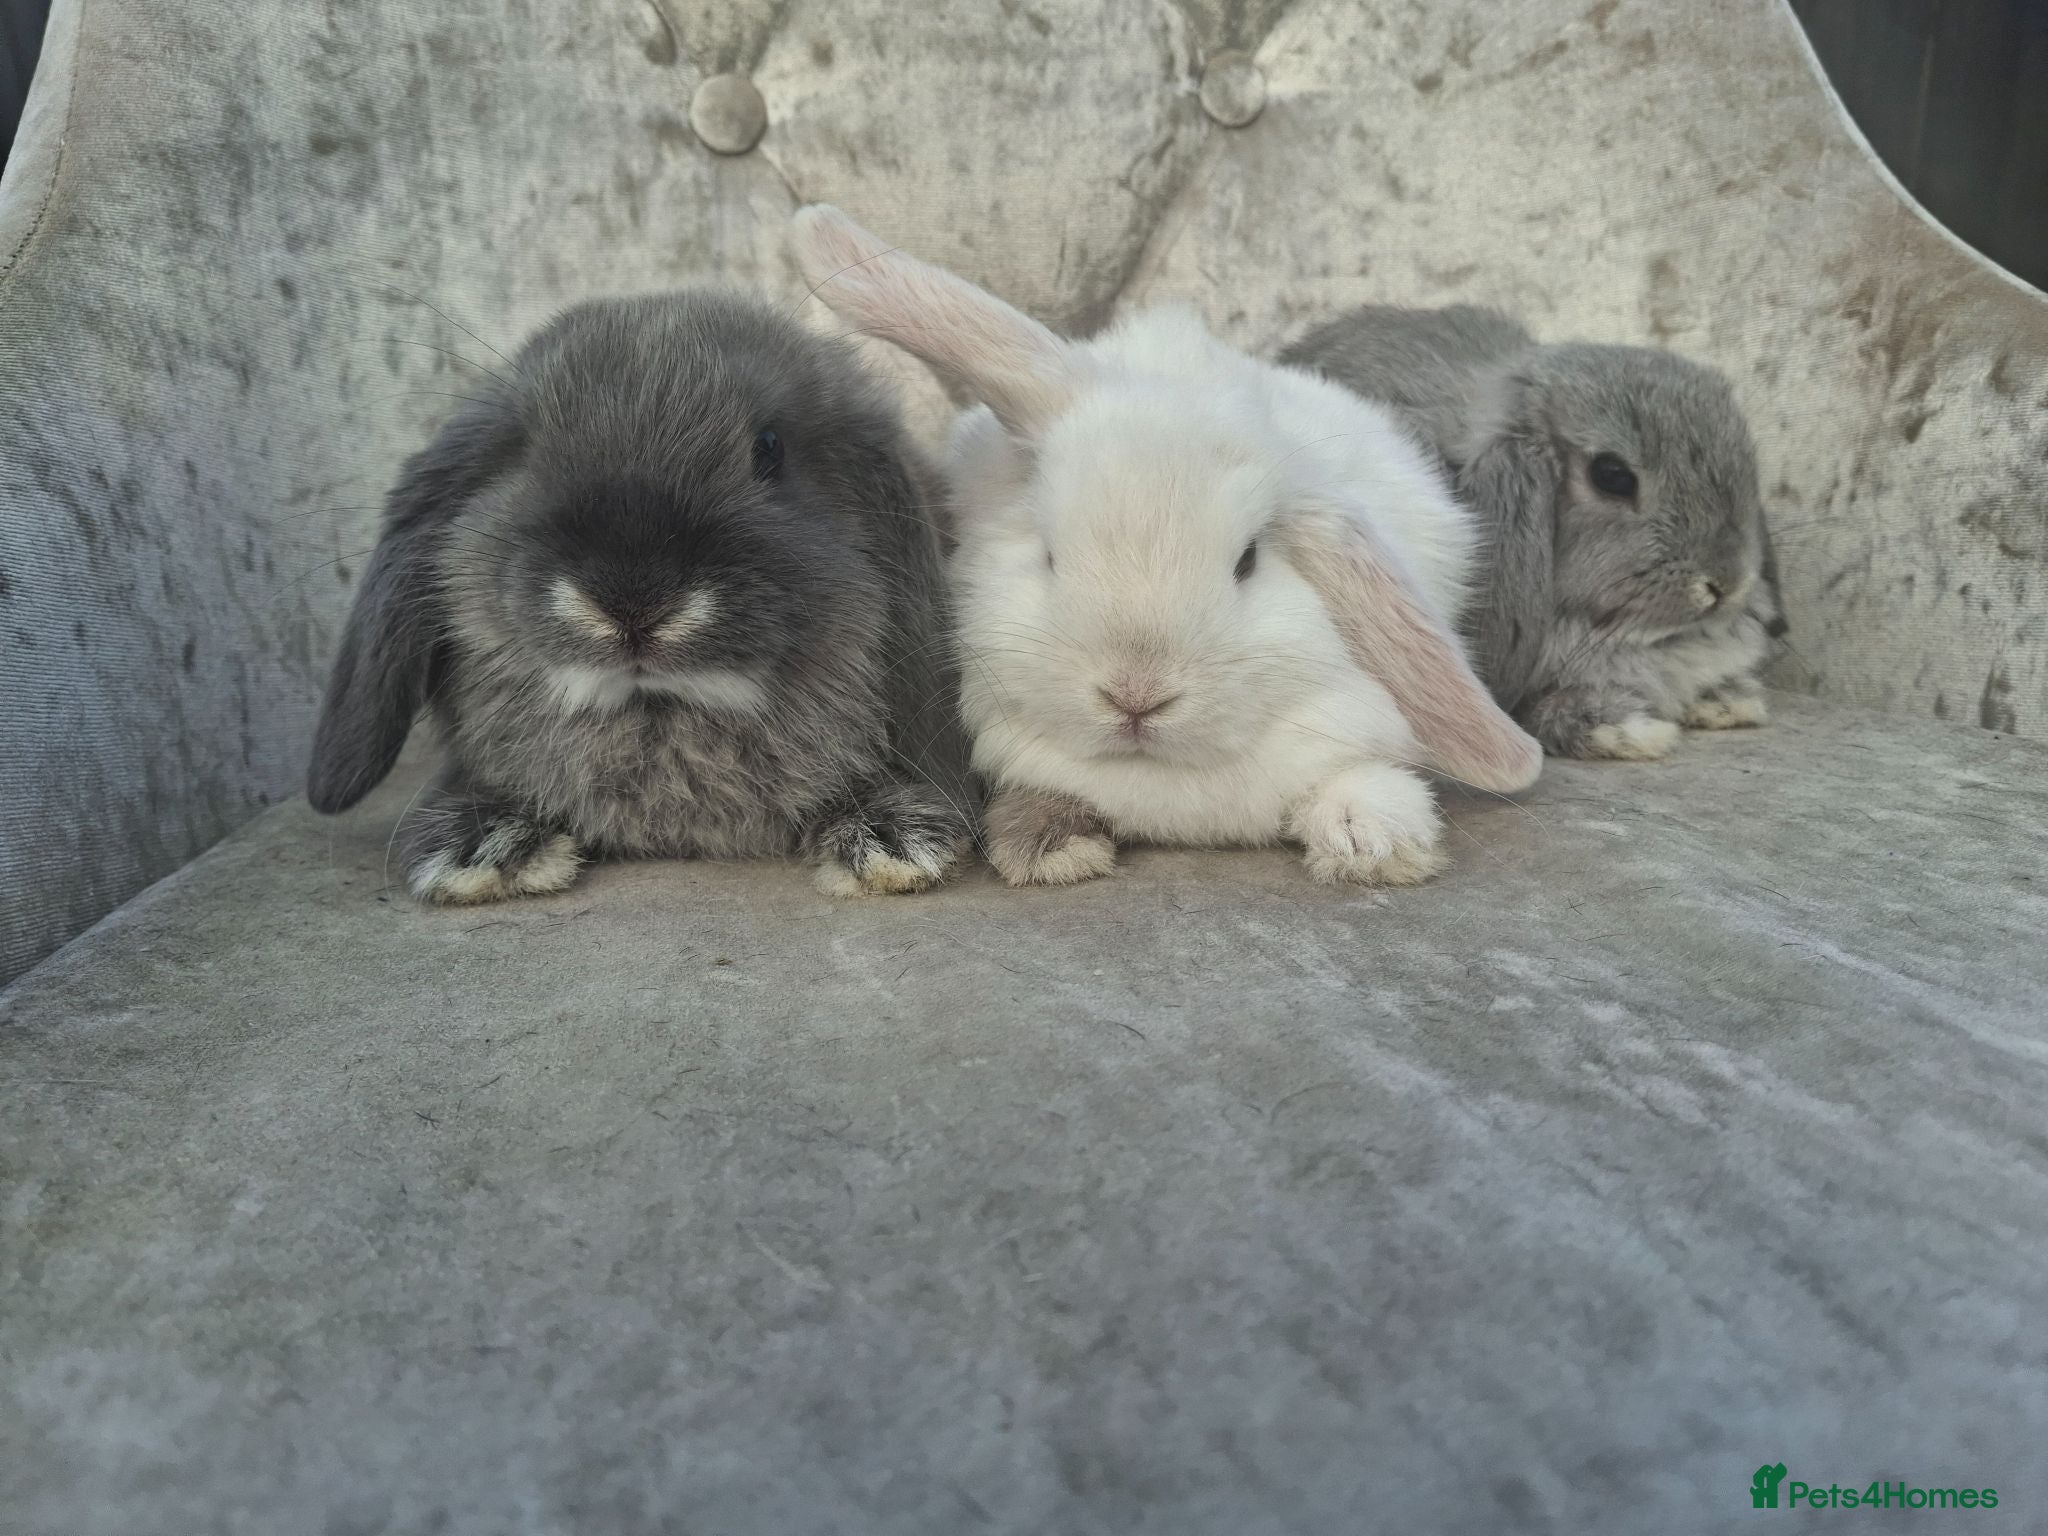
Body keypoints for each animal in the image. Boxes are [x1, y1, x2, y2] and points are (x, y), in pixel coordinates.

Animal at [306, 291, 974, 903]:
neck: (657, 715)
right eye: (522, 450)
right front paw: (484, 846)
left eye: (769, 447)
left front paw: (888, 836)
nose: (633, 601)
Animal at [792, 206, 1541, 888]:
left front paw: (1376, 842)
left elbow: (1356, 777)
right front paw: (1052, 846)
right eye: (1050, 555)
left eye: (1248, 561)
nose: (1136, 695)